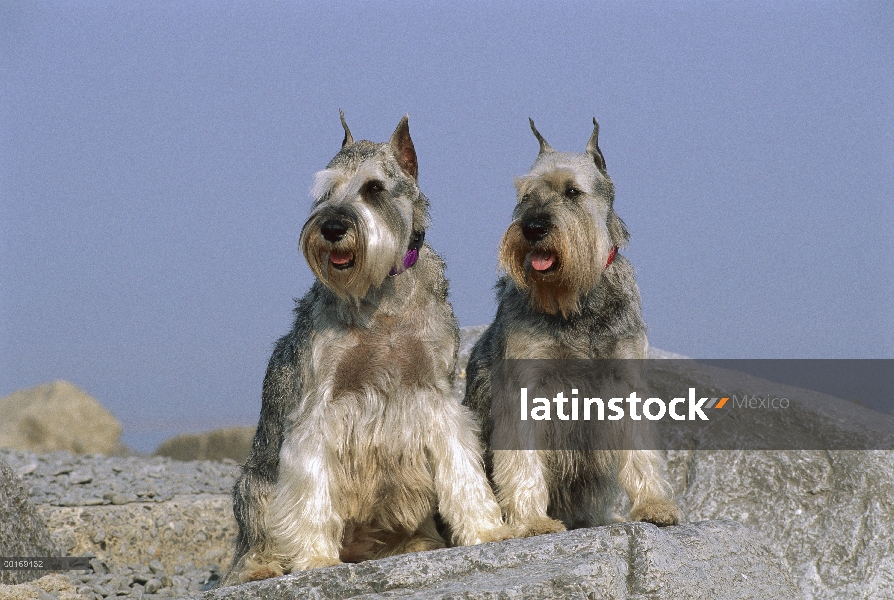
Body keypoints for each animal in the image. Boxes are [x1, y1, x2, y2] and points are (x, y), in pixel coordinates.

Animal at [226, 113, 512, 584]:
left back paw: (417, 543)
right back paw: (264, 565)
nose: (331, 228)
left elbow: (461, 467)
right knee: (254, 541)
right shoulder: (317, 409)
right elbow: (312, 491)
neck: (382, 298)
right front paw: (315, 558)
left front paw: (486, 529)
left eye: (374, 188)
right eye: (325, 192)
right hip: (254, 485)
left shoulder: (436, 397)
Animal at [466, 118, 684, 540]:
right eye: (526, 194)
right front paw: (532, 521)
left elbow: (641, 452)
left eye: (572, 192)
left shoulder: (626, 382)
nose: (533, 228)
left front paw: (654, 504)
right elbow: (523, 463)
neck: (575, 301)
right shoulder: (526, 387)